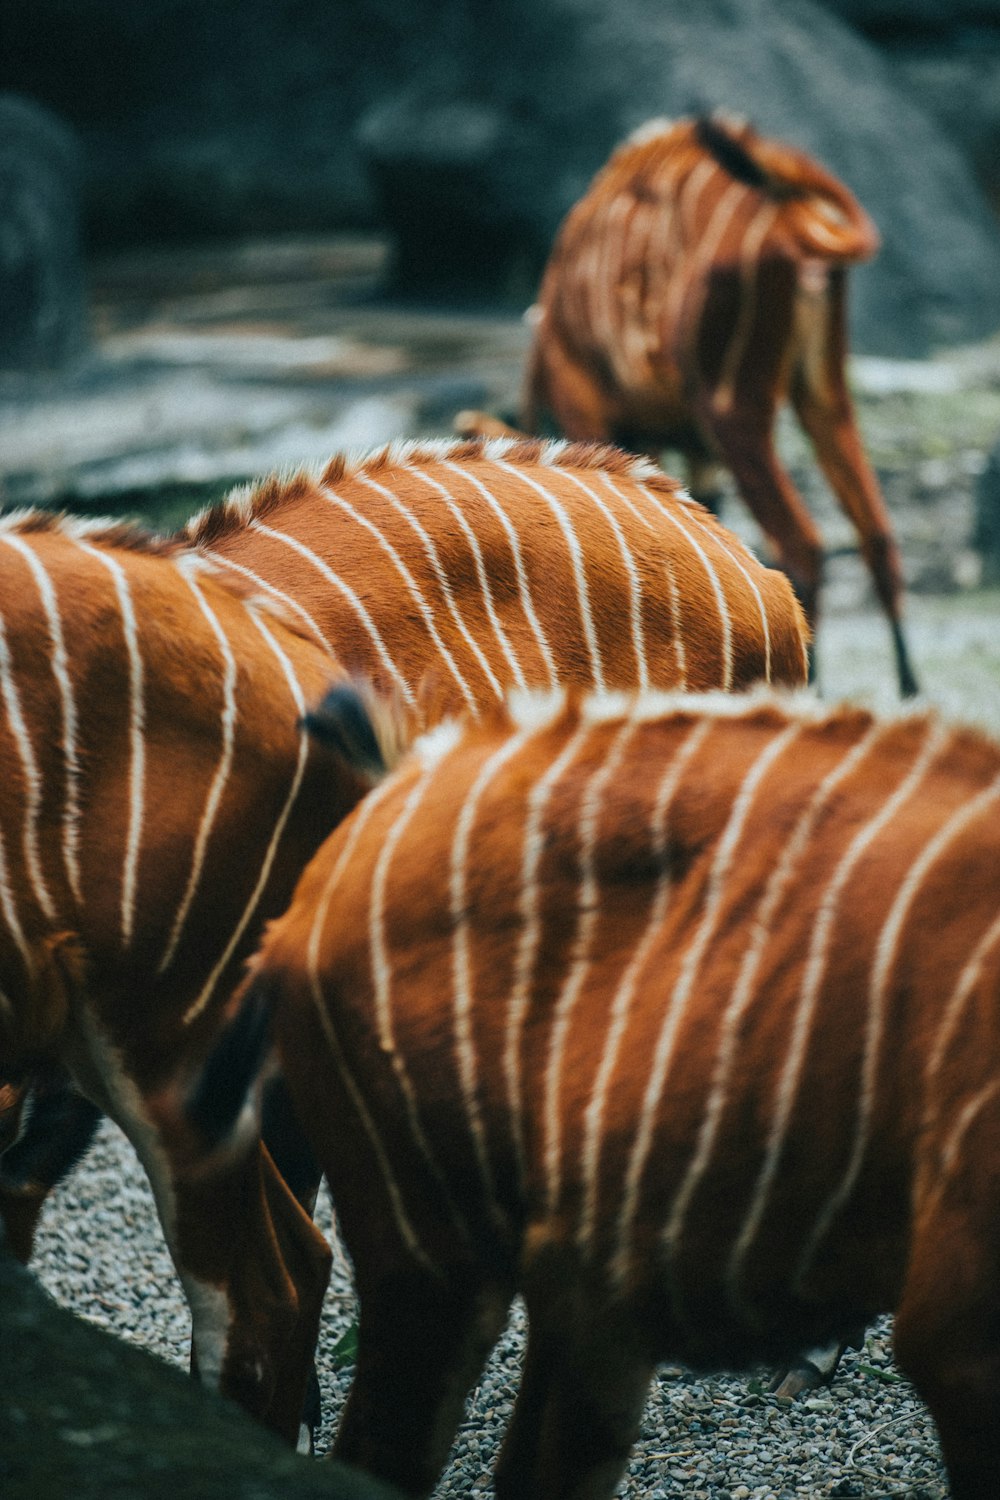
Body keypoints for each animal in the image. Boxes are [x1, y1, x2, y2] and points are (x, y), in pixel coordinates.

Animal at [521, 112, 917, 696]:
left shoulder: (588, 411)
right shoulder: (696, 452)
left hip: (732, 409)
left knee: (803, 544)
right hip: (822, 395)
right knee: (878, 537)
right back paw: (910, 694)